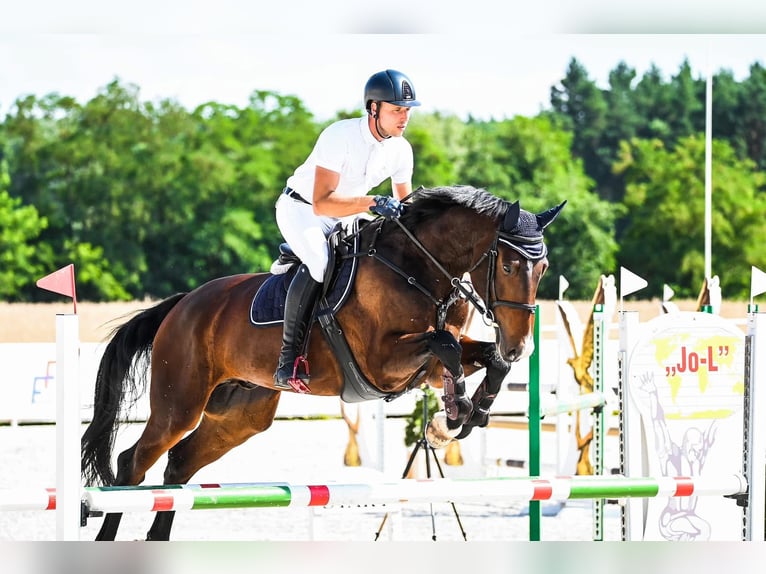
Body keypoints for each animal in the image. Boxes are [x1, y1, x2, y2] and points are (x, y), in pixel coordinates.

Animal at [81, 187, 568, 544]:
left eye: (543, 268)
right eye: (508, 265)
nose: (520, 346)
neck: (419, 267)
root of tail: (182, 305)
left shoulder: (423, 366)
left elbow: (480, 358)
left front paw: (464, 416)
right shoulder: (382, 363)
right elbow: (445, 345)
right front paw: (453, 414)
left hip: (240, 416)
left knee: (179, 466)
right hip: (178, 405)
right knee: (132, 463)